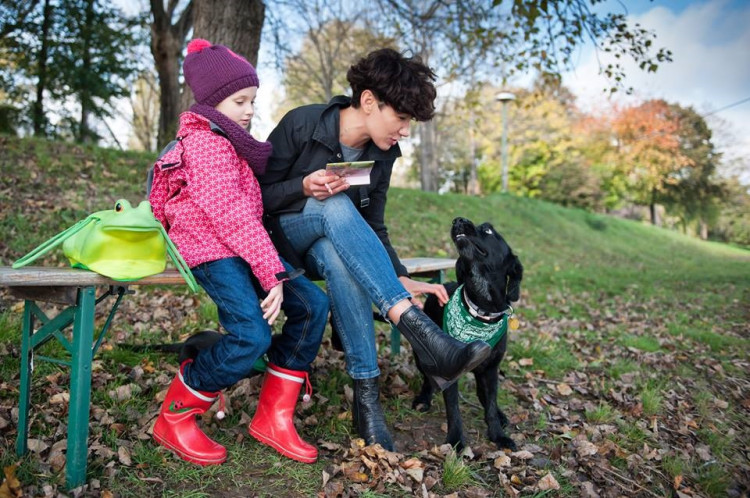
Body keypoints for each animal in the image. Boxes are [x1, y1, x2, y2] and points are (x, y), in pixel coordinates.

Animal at [418, 217, 524, 452]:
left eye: (488, 230)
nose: (457, 219)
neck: (482, 308)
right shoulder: (450, 370)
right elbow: (453, 409)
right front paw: (455, 440)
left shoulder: (492, 368)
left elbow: (491, 404)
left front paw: (497, 435)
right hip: (421, 356)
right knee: (427, 379)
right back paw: (423, 398)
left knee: (483, 394)